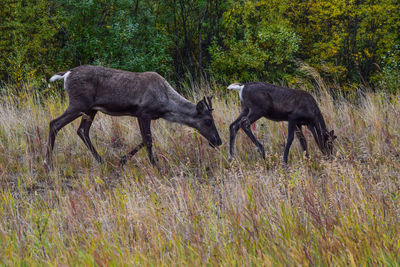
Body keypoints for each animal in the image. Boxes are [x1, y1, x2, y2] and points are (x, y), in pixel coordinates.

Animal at [46, 65, 222, 166]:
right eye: (208, 121)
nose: (218, 141)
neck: (166, 104)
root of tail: (66, 75)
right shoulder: (143, 113)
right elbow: (148, 140)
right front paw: (156, 166)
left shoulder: (144, 115)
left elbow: (144, 139)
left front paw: (123, 159)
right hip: (78, 104)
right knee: (54, 123)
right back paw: (48, 162)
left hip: (90, 109)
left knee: (82, 130)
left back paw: (100, 160)